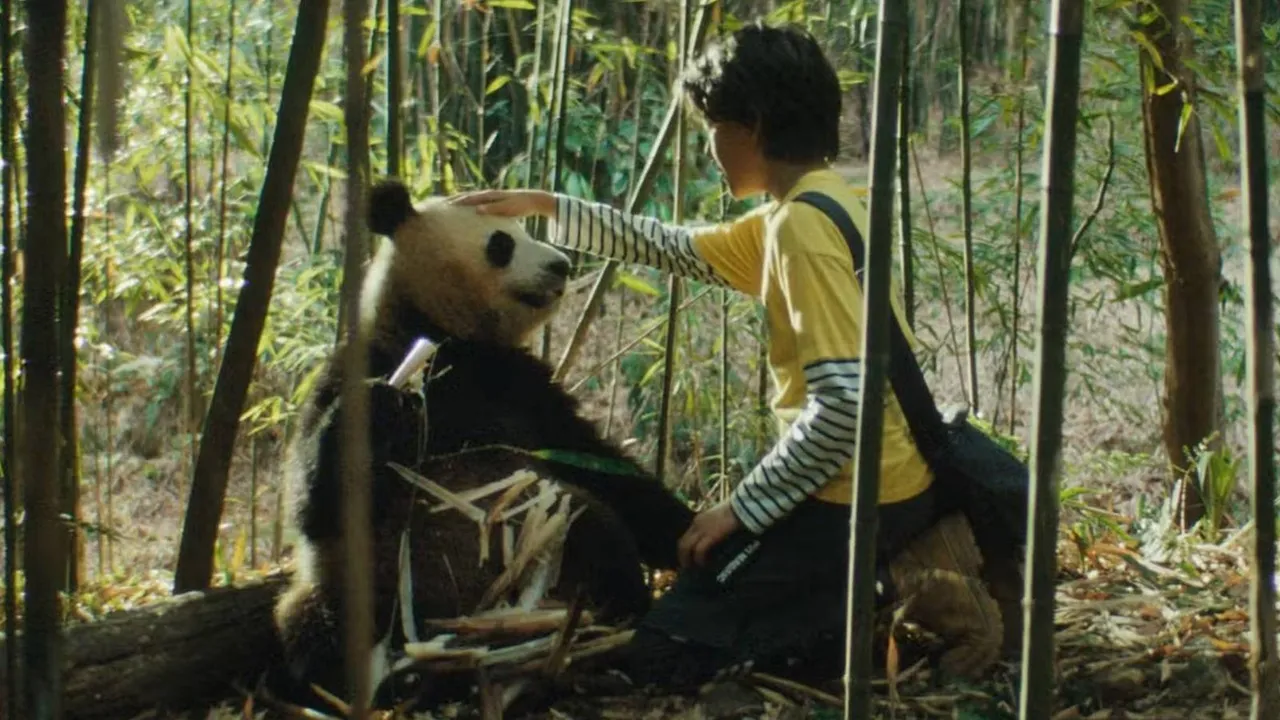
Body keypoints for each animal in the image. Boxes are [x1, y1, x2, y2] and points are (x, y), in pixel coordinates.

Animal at [270, 179, 695, 710]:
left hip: (554, 538)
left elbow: (600, 463)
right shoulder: (359, 363)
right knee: (311, 631)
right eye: (501, 242)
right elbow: (313, 501)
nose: (561, 265)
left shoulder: (523, 387)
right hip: (361, 587)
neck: (446, 339)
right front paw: (381, 404)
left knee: (596, 527)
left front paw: (692, 530)